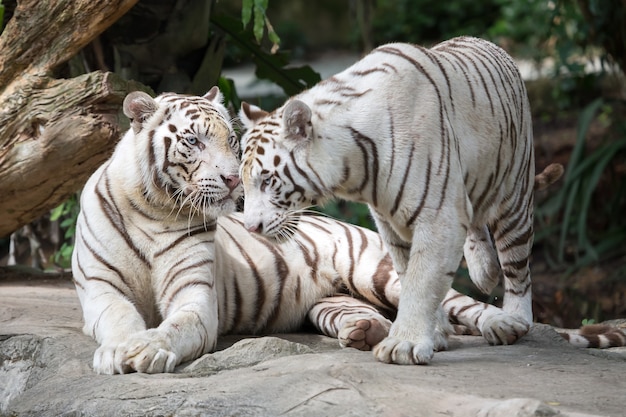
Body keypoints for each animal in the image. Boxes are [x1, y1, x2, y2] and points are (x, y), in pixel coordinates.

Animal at [236, 38, 540, 364]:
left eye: (267, 180)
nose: (250, 228)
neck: (354, 170)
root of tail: (489, 44)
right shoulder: (392, 226)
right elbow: (409, 278)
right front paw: (433, 334)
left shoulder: (438, 216)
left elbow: (422, 282)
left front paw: (404, 345)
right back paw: (485, 271)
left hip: (515, 194)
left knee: (517, 267)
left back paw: (515, 318)